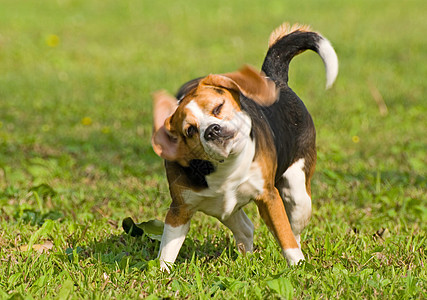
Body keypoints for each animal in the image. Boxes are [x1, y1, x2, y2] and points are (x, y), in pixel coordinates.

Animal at [150, 23, 338, 270]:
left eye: (218, 108)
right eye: (190, 130)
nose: (211, 130)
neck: (225, 167)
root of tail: (274, 78)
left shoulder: (268, 197)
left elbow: (285, 235)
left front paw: (298, 265)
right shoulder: (180, 210)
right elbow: (168, 249)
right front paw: (162, 273)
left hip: (297, 195)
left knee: (294, 231)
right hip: (223, 209)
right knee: (247, 228)